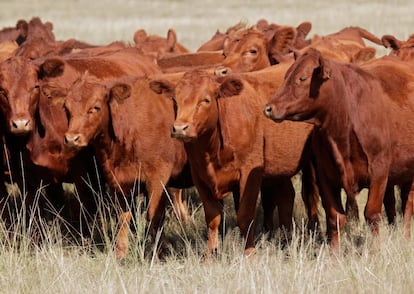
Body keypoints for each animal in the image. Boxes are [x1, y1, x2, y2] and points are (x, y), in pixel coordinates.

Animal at [152, 70, 314, 256]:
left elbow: (245, 216)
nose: (179, 128)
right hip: (279, 170)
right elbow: (213, 217)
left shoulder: (250, 172)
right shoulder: (199, 176)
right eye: (174, 100)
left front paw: (249, 254)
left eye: (205, 100)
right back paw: (286, 241)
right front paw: (210, 255)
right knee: (286, 197)